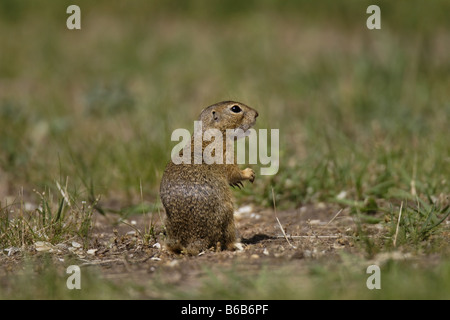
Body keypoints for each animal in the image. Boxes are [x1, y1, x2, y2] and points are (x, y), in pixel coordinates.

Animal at [160, 101, 258, 254]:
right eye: (235, 108)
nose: (256, 114)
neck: (210, 131)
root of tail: (193, 241)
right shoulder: (227, 152)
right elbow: (233, 172)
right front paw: (249, 173)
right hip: (228, 213)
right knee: (228, 239)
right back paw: (238, 244)